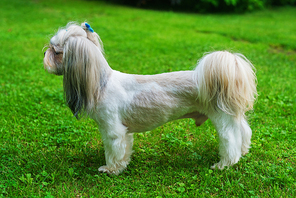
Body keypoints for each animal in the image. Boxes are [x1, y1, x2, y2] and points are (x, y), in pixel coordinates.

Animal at [43, 22, 256, 175]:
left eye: (56, 51)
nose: (45, 52)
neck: (101, 83)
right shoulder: (124, 131)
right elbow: (124, 149)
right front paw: (122, 165)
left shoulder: (112, 129)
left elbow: (113, 150)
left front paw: (111, 169)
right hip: (232, 116)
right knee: (244, 131)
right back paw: (244, 151)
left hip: (221, 118)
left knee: (230, 140)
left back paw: (224, 164)